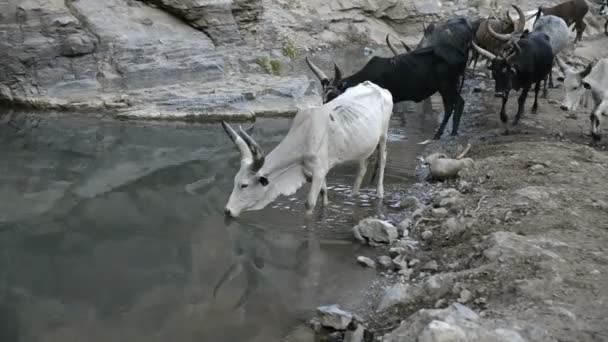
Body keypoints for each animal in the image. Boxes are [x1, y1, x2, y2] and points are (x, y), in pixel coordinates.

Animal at [223, 81, 394, 216]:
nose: (227, 210)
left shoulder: (319, 171)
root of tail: (378, 88)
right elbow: (324, 194)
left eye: (244, 185)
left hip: (383, 136)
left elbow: (309, 203)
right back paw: (354, 194)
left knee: (383, 159)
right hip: (364, 146)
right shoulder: (317, 172)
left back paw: (379, 193)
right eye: (234, 181)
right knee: (362, 167)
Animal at [306, 16, 472, 140]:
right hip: (447, 87)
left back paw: (442, 134)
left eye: (335, 95)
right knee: (454, 105)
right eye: (323, 98)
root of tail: (460, 54)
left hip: (447, 85)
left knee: (455, 104)